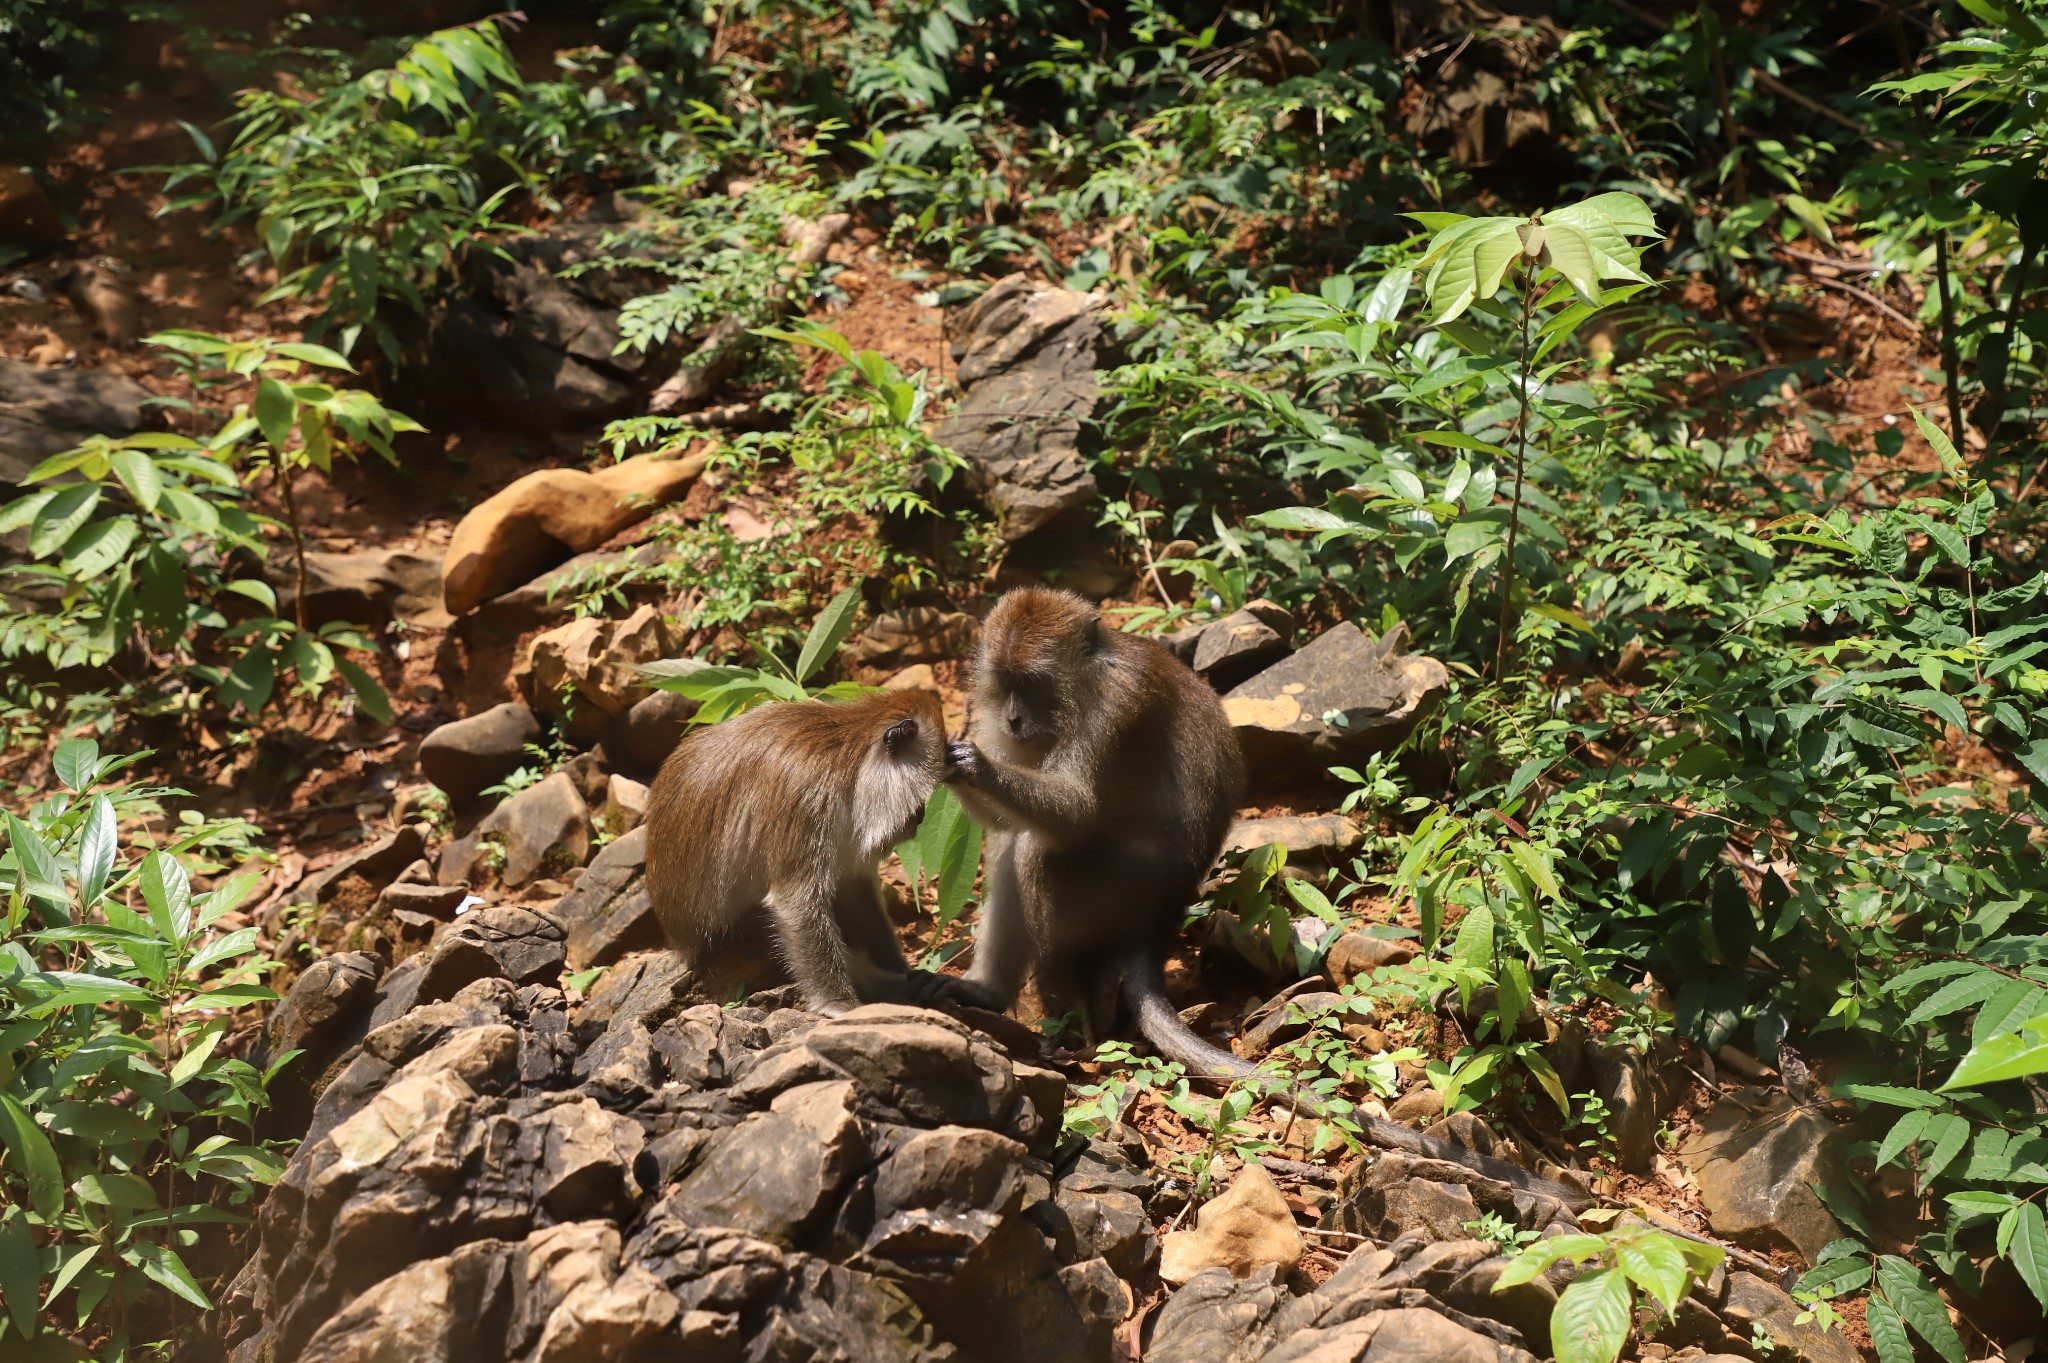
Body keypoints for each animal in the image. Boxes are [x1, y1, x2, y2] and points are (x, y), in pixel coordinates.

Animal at [647, 691, 974, 1006]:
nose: (919, 818)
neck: (846, 760)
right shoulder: (807, 798)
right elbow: (796, 903)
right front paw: (840, 1003)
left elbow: (854, 889)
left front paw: (904, 972)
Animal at [946, 589, 1597, 1203]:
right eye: (1004, 682)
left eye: (1034, 684)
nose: (1012, 721)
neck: (1082, 685)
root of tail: (1159, 921)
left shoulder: (1114, 709)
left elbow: (1075, 810)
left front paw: (974, 766)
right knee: (1010, 843)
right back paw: (991, 993)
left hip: (1121, 889)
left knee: (1037, 850)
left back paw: (1066, 1029)